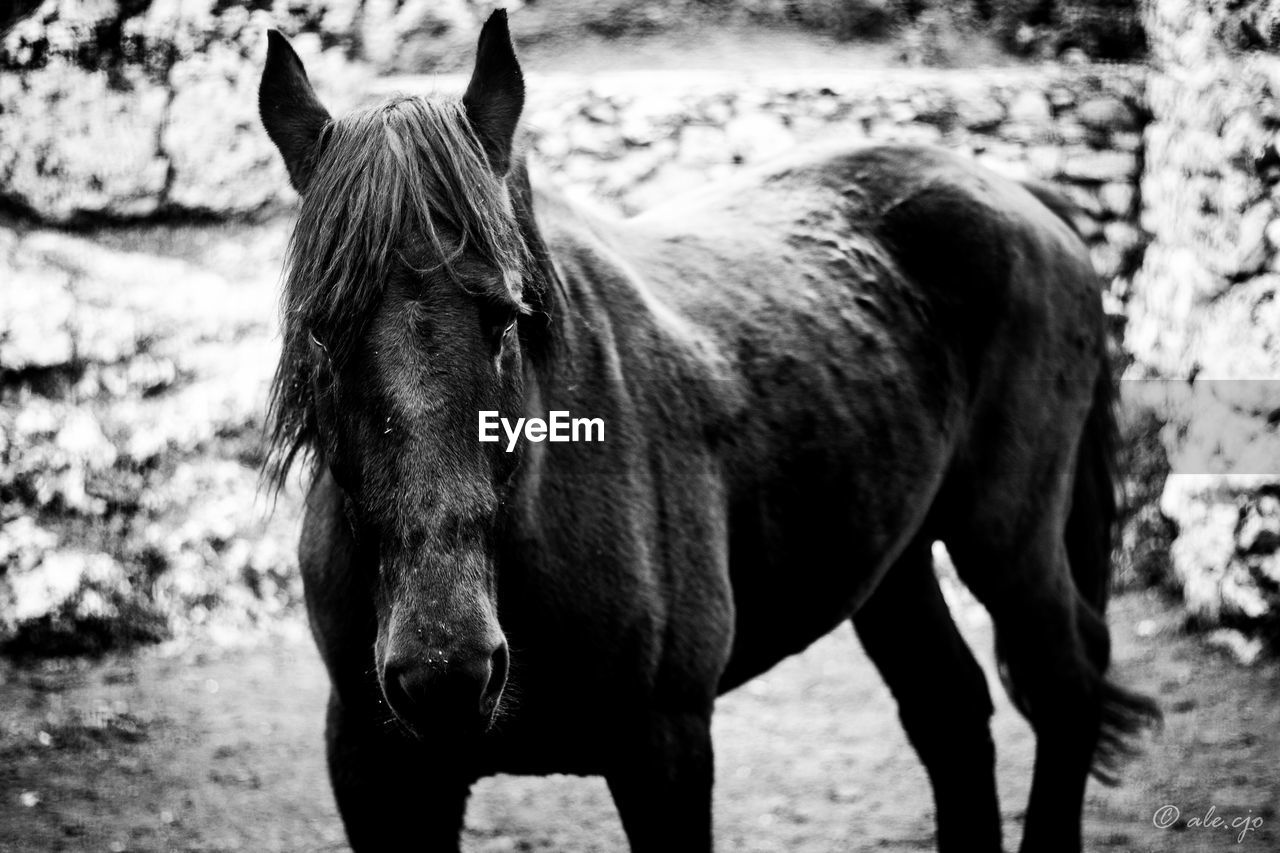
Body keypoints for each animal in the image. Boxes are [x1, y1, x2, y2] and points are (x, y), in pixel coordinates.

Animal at [259, 13, 1162, 850]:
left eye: (507, 317)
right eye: (320, 331)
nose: (445, 668)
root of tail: (1021, 194)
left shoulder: (665, 748)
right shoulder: (377, 769)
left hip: (1008, 542)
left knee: (1065, 687)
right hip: (893, 558)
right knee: (951, 710)